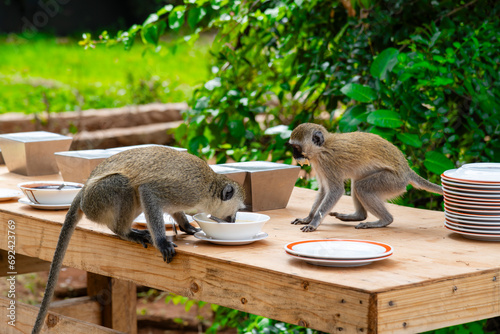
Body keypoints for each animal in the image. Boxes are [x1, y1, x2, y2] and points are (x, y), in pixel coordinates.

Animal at [30, 146, 245, 334]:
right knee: (124, 184)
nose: (233, 221)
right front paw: (162, 242)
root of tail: (82, 194)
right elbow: (148, 192)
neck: (208, 186)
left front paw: (187, 226)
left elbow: (174, 209)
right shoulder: (187, 190)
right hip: (98, 199)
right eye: (235, 212)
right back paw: (125, 232)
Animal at [288, 123, 444, 232]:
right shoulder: (319, 166)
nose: (295, 156)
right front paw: (307, 218)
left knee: (361, 187)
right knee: (356, 182)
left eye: (296, 148)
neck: (322, 149)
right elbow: (323, 191)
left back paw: (385, 220)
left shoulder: (328, 163)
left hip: (393, 181)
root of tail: (406, 171)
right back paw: (358, 216)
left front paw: (314, 223)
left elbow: (335, 191)